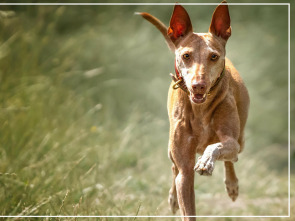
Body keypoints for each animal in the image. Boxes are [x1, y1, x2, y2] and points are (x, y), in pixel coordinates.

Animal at [138, 1, 249, 219]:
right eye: (186, 56)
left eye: (213, 56)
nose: (199, 86)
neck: (200, 110)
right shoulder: (185, 171)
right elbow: (185, 196)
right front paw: (176, 199)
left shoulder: (229, 140)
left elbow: (216, 147)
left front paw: (206, 161)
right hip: (171, 150)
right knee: (173, 168)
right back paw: (173, 198)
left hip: (240, 140)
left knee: (231, 158)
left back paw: (232, 184)